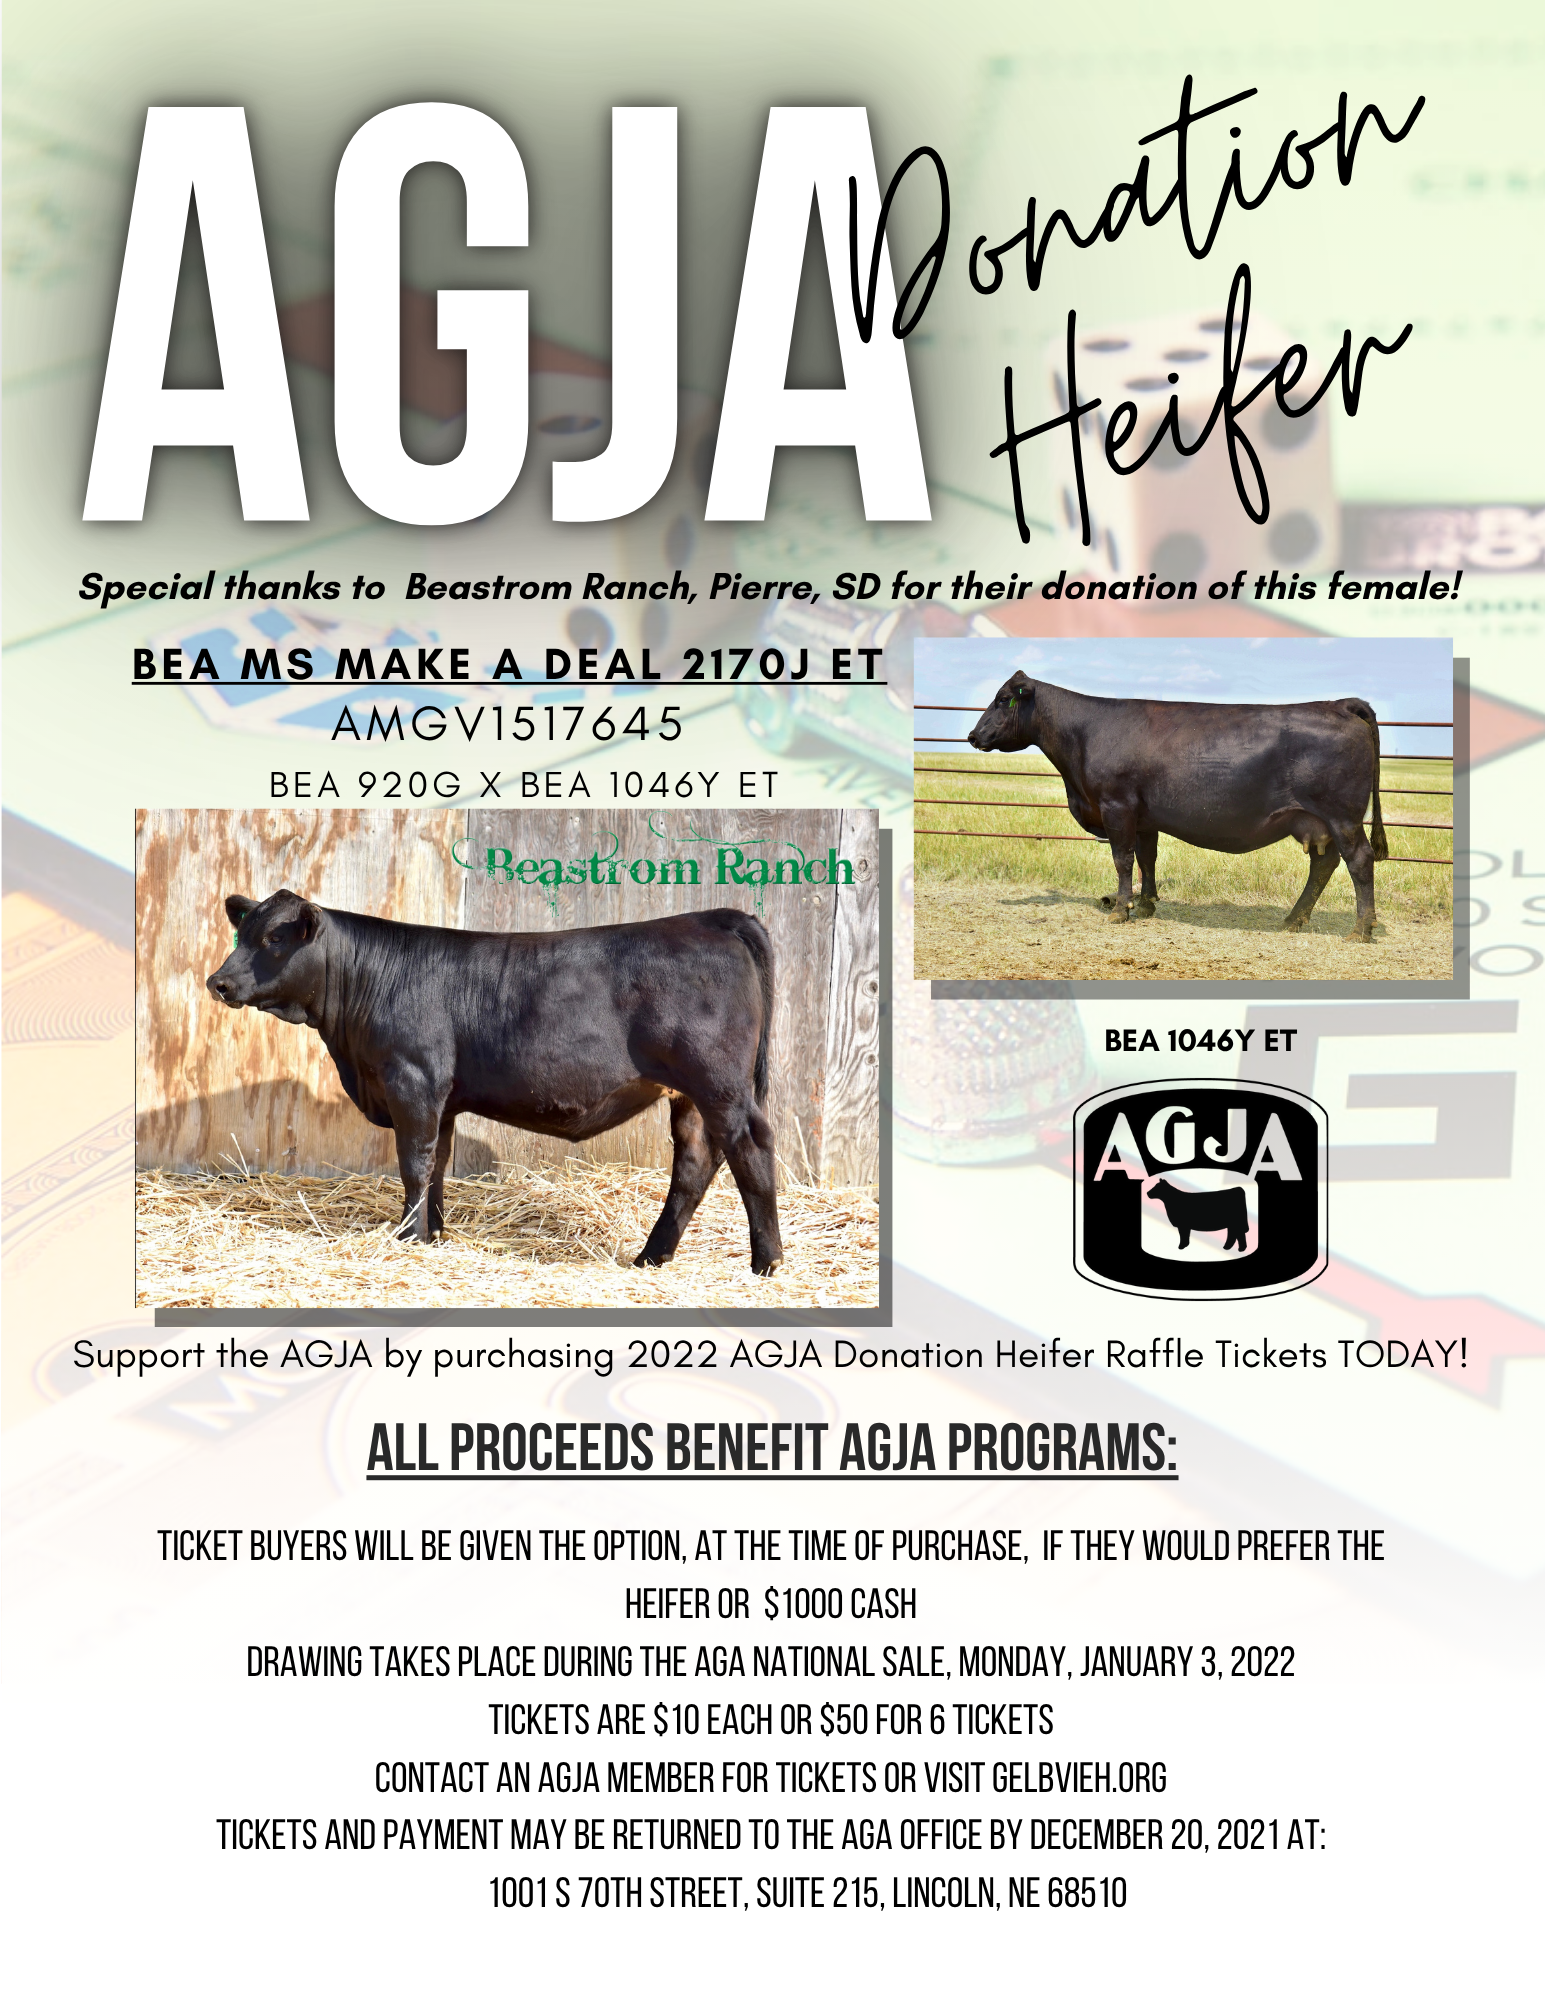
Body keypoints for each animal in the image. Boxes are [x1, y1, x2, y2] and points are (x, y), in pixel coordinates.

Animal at [205, 891, 782, 1273]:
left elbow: (414, 1162)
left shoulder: (413, 1079)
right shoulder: (442, 1098)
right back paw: (651, 1257)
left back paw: (767, 1261)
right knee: (694, 1164)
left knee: (750, 1150)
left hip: (719, 1084)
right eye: (241, 933)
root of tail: (713, 918)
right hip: (690, 1096)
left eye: (275, 938)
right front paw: (433, 1234)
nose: (218, 982)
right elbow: (438, 1162)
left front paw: (407, 1236)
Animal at [966, 674, 1389, 941]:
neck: (1084, 735)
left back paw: (1360, 929)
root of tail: (1339, 704)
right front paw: (1147, 904)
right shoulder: (1143, 816)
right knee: (1324, 865)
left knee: (1359, 860)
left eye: (1003, 699)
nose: (972, 735)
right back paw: (1292, 920)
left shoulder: (1117, 806)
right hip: (1319, 822)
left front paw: (1121, 909)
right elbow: (1146, 858)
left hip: (1342, 817)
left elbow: (1123, 859)